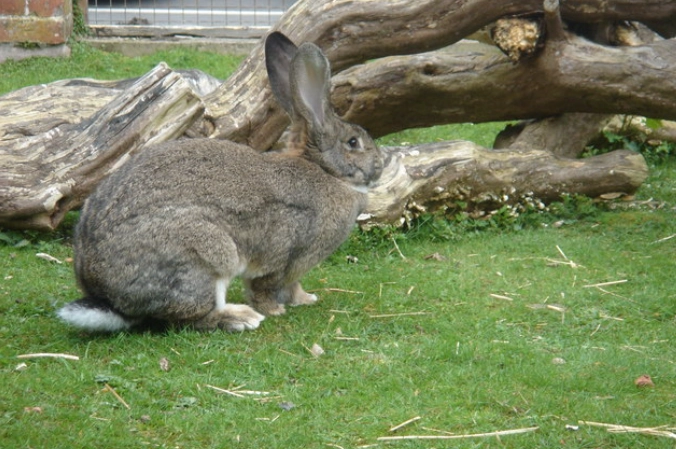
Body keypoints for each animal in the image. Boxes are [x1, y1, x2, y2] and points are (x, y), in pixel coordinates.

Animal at [56, 31, 384, 333]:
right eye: (353, 142)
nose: (380, 164)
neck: (326, 171)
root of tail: (107, 298)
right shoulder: (281, 254)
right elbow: (265, 285)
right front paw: (274, 310)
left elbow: (293, 287)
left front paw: (305, 299)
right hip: (206, 255)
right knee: (191, 316)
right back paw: (241, 317)